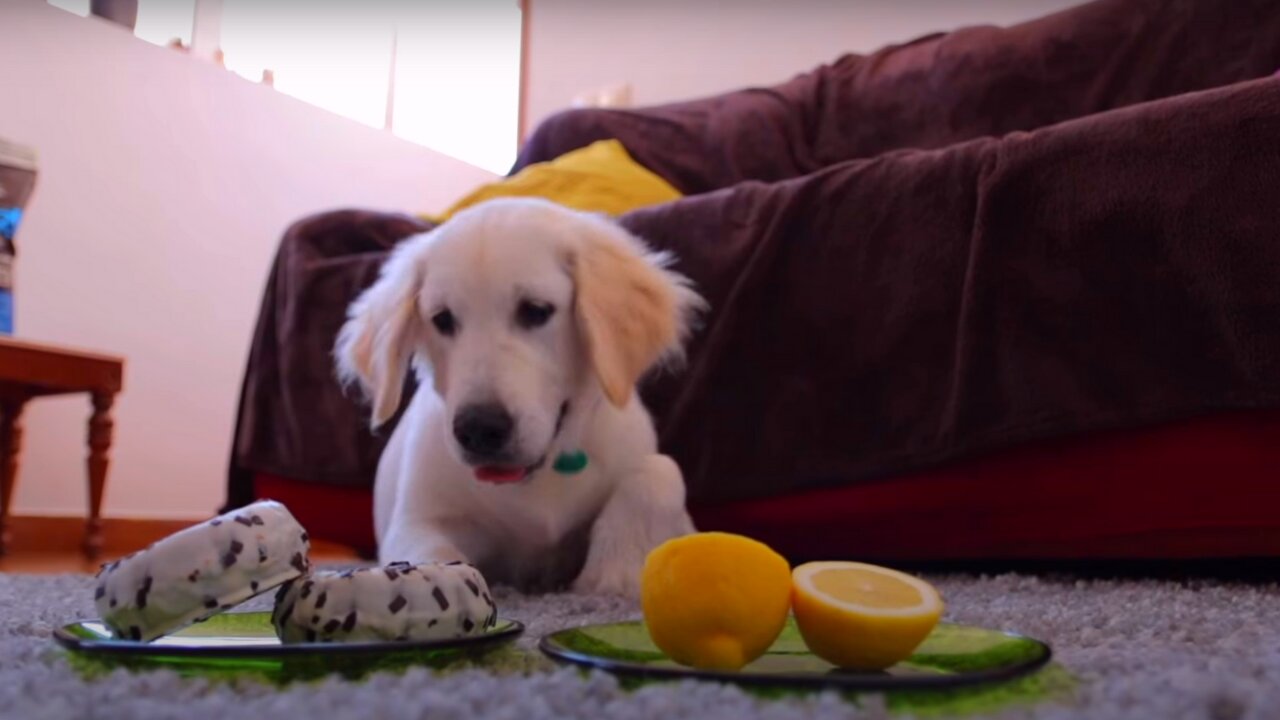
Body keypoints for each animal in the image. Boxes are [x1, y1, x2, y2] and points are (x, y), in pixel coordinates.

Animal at [335, 194, 706, 594]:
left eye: (535, 310)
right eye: (442, 319)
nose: (479, 430)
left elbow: (661, 471)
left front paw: (617, 570)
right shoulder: (418, 519)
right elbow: (429, 557)